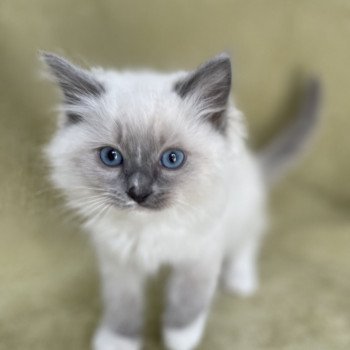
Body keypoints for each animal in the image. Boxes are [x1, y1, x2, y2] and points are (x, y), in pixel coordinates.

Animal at [40, 52, 320, 350]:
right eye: (111, 156)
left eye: (172, 159)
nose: (138, 192)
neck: (148, 229)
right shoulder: (118, 260)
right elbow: (123, 303)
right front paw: (118, 340)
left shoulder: (201, 253)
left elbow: (188, 299)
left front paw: (180, 338)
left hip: (243, 211)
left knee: (248, 241)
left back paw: (240, 280)